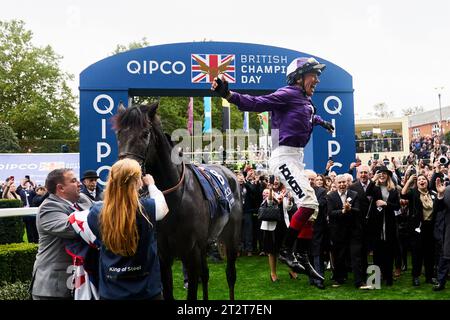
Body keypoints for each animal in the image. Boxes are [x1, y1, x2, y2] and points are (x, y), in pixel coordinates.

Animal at [114, 102, 244, 300]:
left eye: (145, 134)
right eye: (119, 134)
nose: (124, 173)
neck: (172, 203)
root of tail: (229, 171)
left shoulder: (191, 254)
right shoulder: (163, 256)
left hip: (231, 238)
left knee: (230, 275)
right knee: (205, 275)